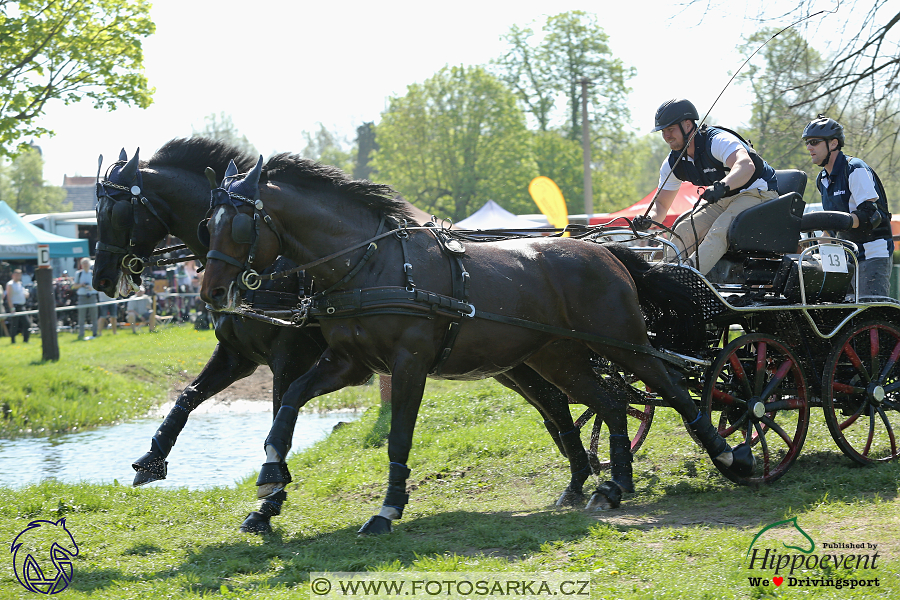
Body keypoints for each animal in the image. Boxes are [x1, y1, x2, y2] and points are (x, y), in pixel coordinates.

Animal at [91, 139, 600, 528]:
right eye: (206, 225)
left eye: (116, 212)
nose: (100, 280)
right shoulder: (238, 355)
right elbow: (188, 396)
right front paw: (152, 458)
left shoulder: (289, 358)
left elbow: (278, 411)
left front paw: (271, 498)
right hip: (509, 361)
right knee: (555, 403)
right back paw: (581, 475)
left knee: (561, 402)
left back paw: (586, 473)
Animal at [200, 155, 756, 536]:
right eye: (208, 223)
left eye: (239, 226)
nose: (210, 294)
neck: (372, 264)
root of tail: (608, 253)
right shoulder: (345, 362)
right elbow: (290, 400)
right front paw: (271, 473)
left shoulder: (408, 365)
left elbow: (398, 436)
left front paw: (387, 510)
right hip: (560, 357)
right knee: (613, 401)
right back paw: (613, 486)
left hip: (627, 344)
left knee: (675, 391)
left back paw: (731, 456)